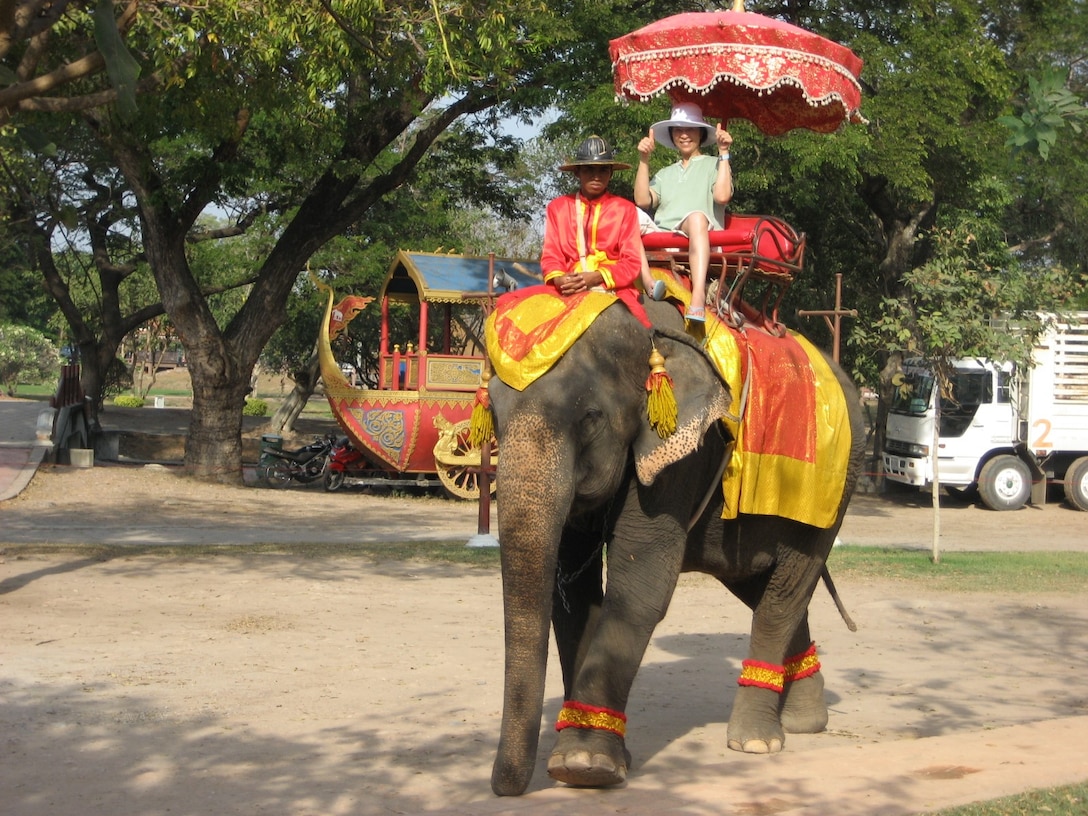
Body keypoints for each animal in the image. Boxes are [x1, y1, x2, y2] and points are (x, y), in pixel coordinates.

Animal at [487, 295, 866, 800]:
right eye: (492, 414)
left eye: (590, 418)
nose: (504, 790)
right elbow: (573, 594)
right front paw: (606, 757)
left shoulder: (681, 454)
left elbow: (641, 584)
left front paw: (583, 766)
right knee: (762, 582)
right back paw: (804, 721)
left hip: (831, 490)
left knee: (787, 587)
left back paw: (756, 741)